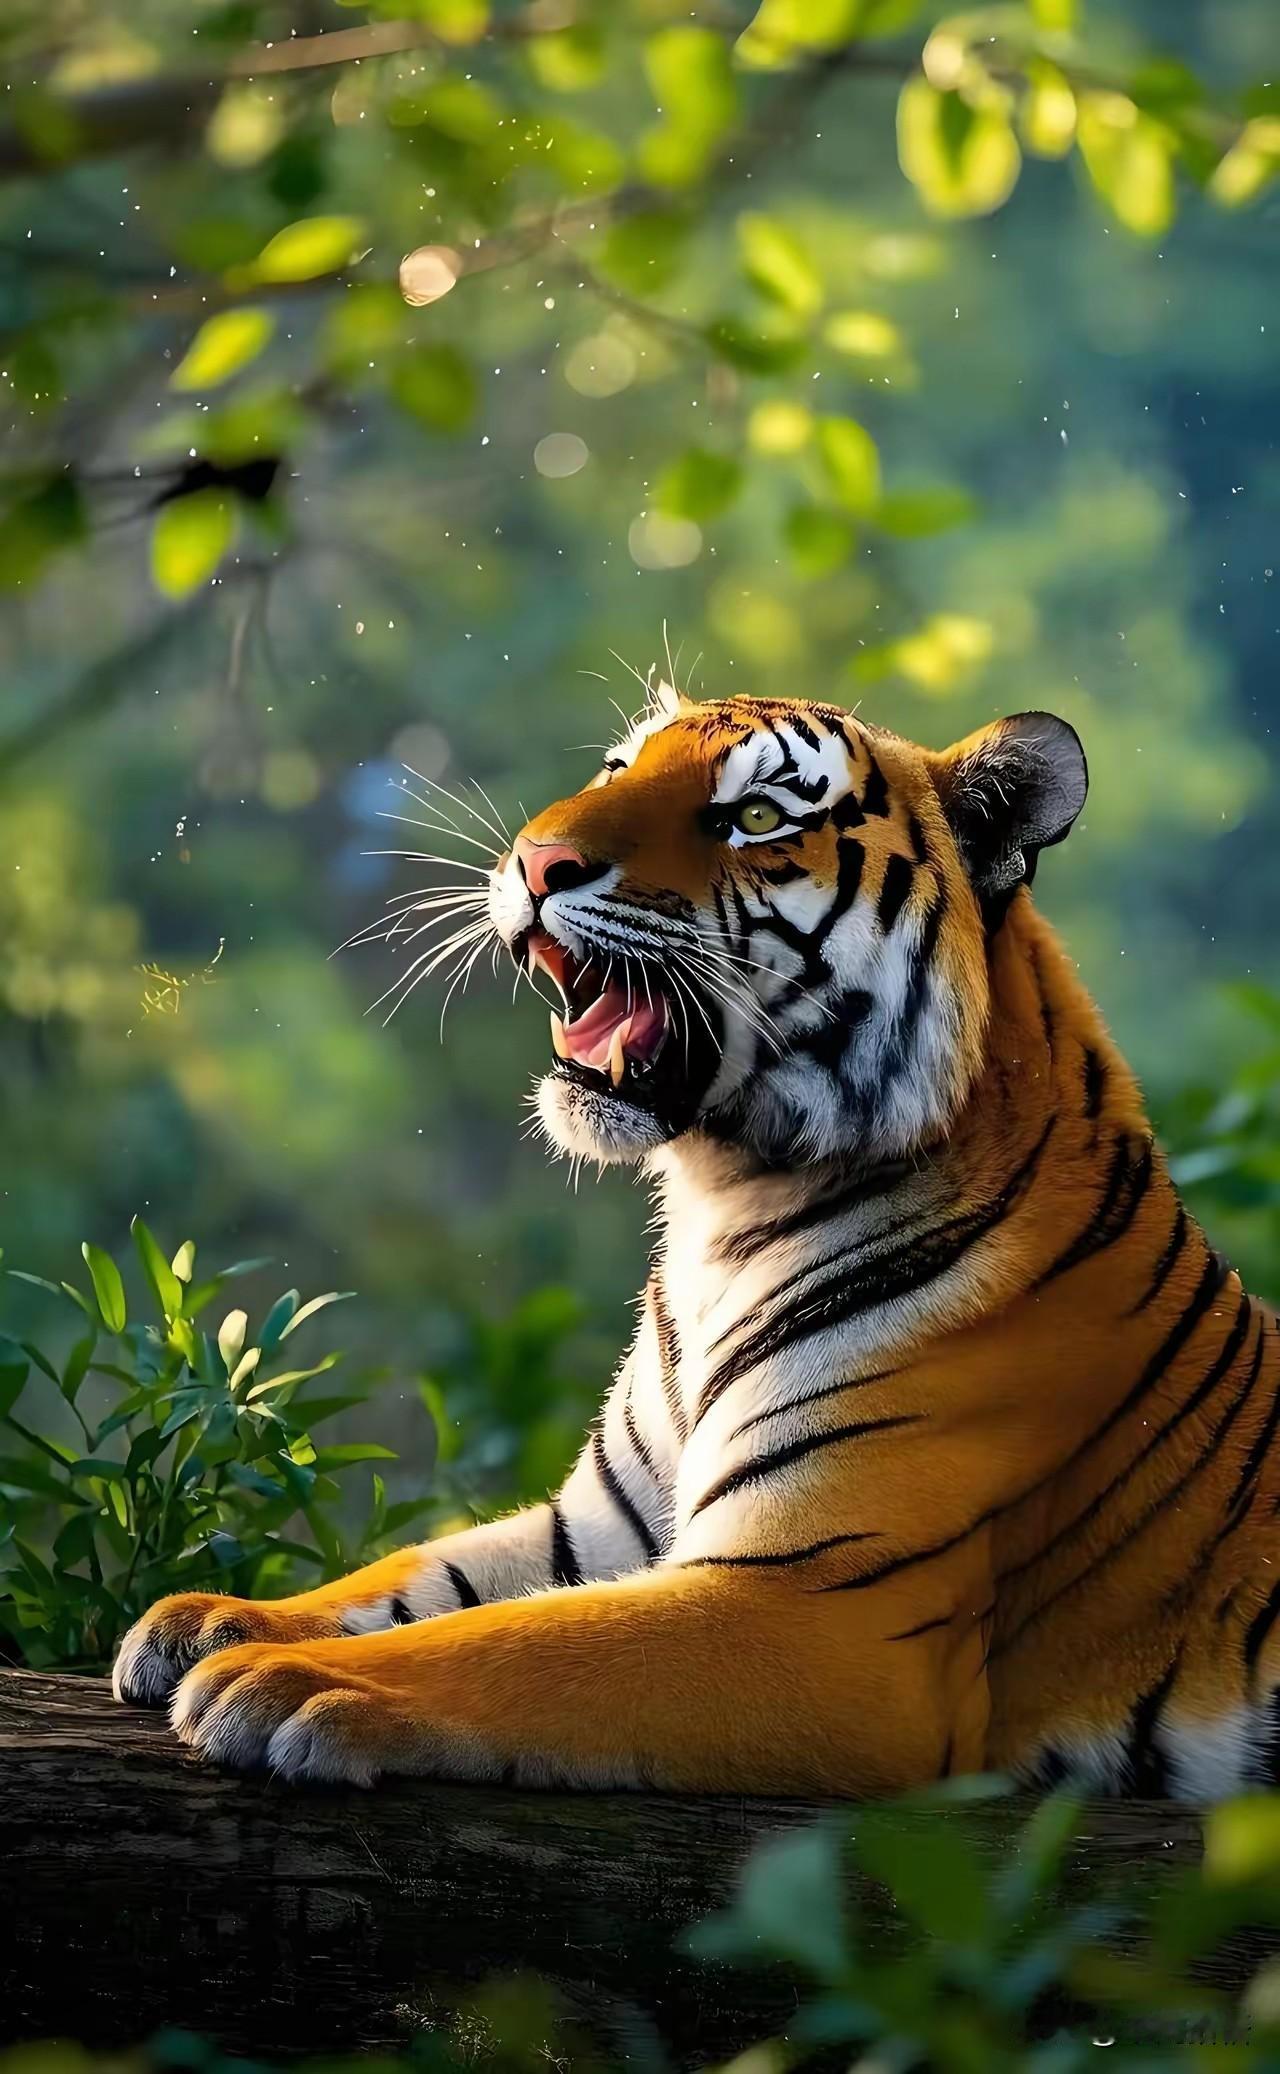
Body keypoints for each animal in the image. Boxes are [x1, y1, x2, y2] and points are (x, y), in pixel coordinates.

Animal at [113, 681, 1280, 1801]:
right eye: (615, 768)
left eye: (754, 818)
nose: (534, 860)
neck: (725, 1211)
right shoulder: (590, 1526)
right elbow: (418, 1576)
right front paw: (209, 1618)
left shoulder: (819, 1609)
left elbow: (524, 1649)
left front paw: (280, 1678)